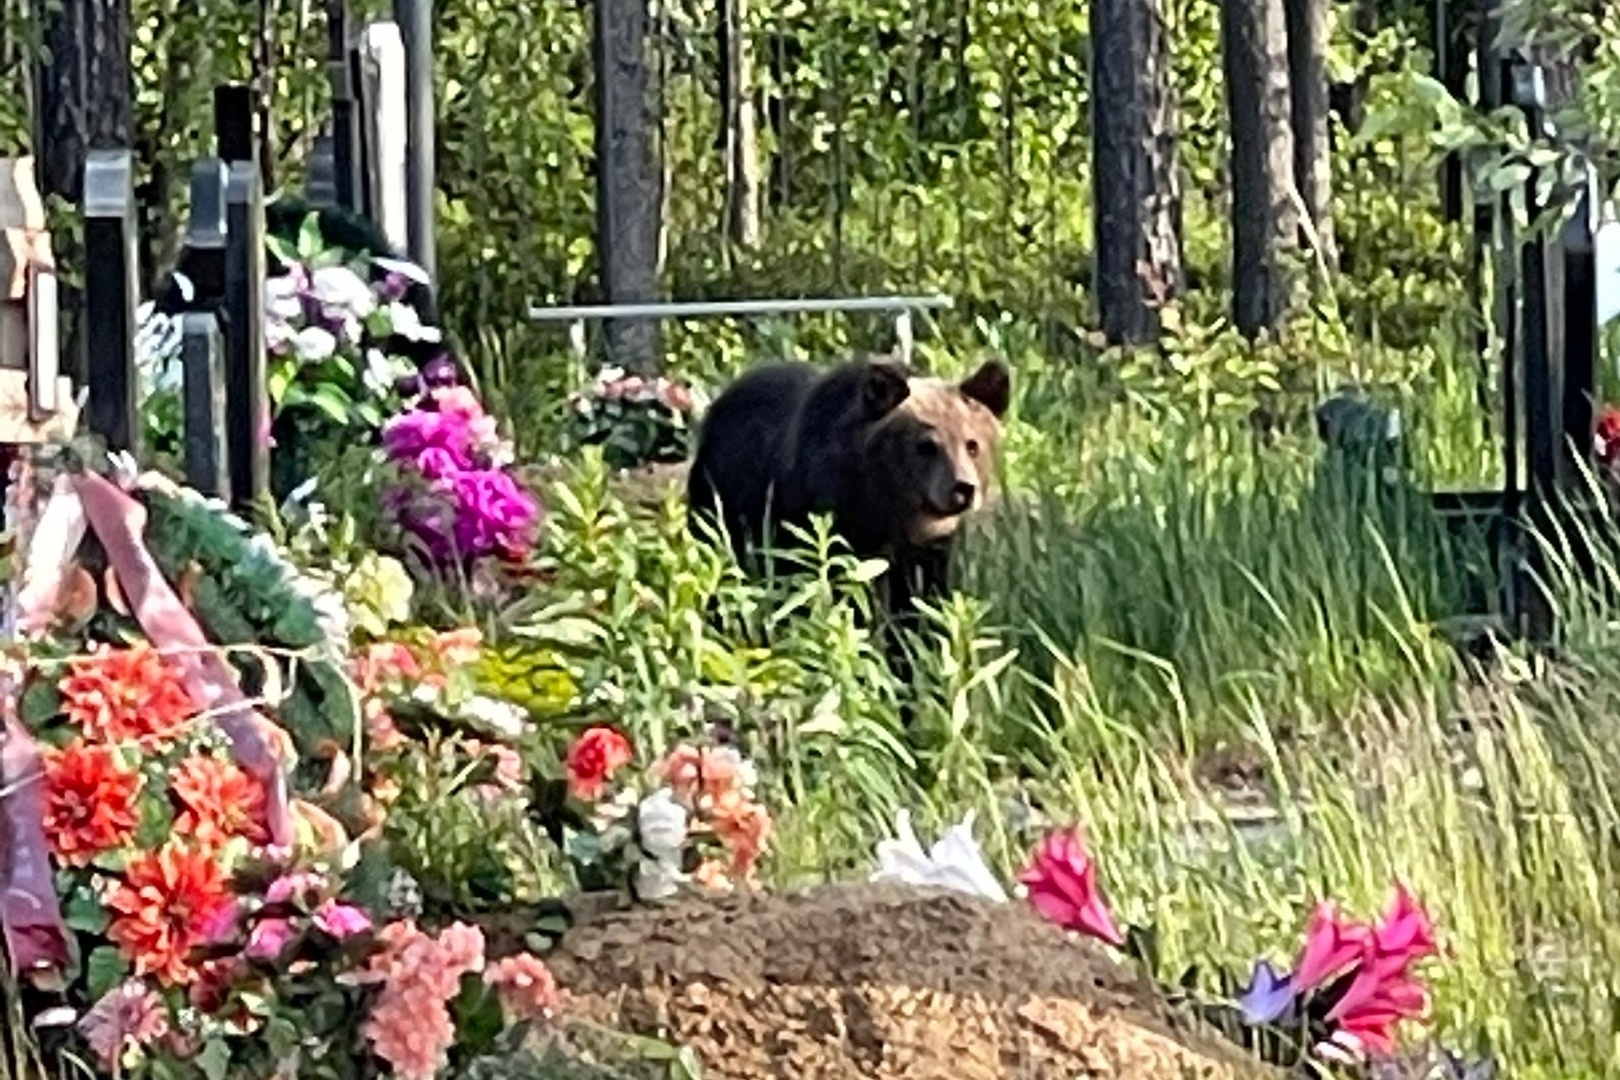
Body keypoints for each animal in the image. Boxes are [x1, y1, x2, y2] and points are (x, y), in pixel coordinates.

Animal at [686, 354, 1010, 625]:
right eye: (927, 446)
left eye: (972, 445)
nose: (963, 488)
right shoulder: (827, 524)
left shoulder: (927, 551)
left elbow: (919, 602)